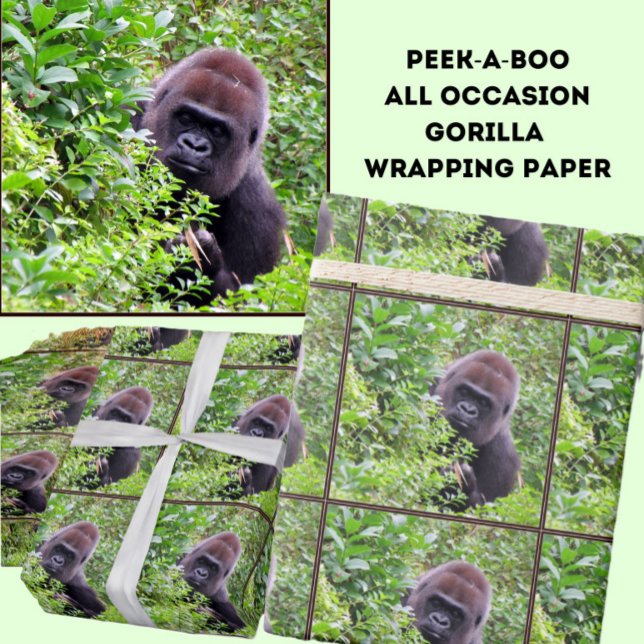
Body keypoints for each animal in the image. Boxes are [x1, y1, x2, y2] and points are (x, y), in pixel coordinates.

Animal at [134, 48, 286, 307]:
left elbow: (242, 298)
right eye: (186, 118)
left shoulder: (258, 210)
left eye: (217, 131)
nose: (194, 146)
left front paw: (203, 259)